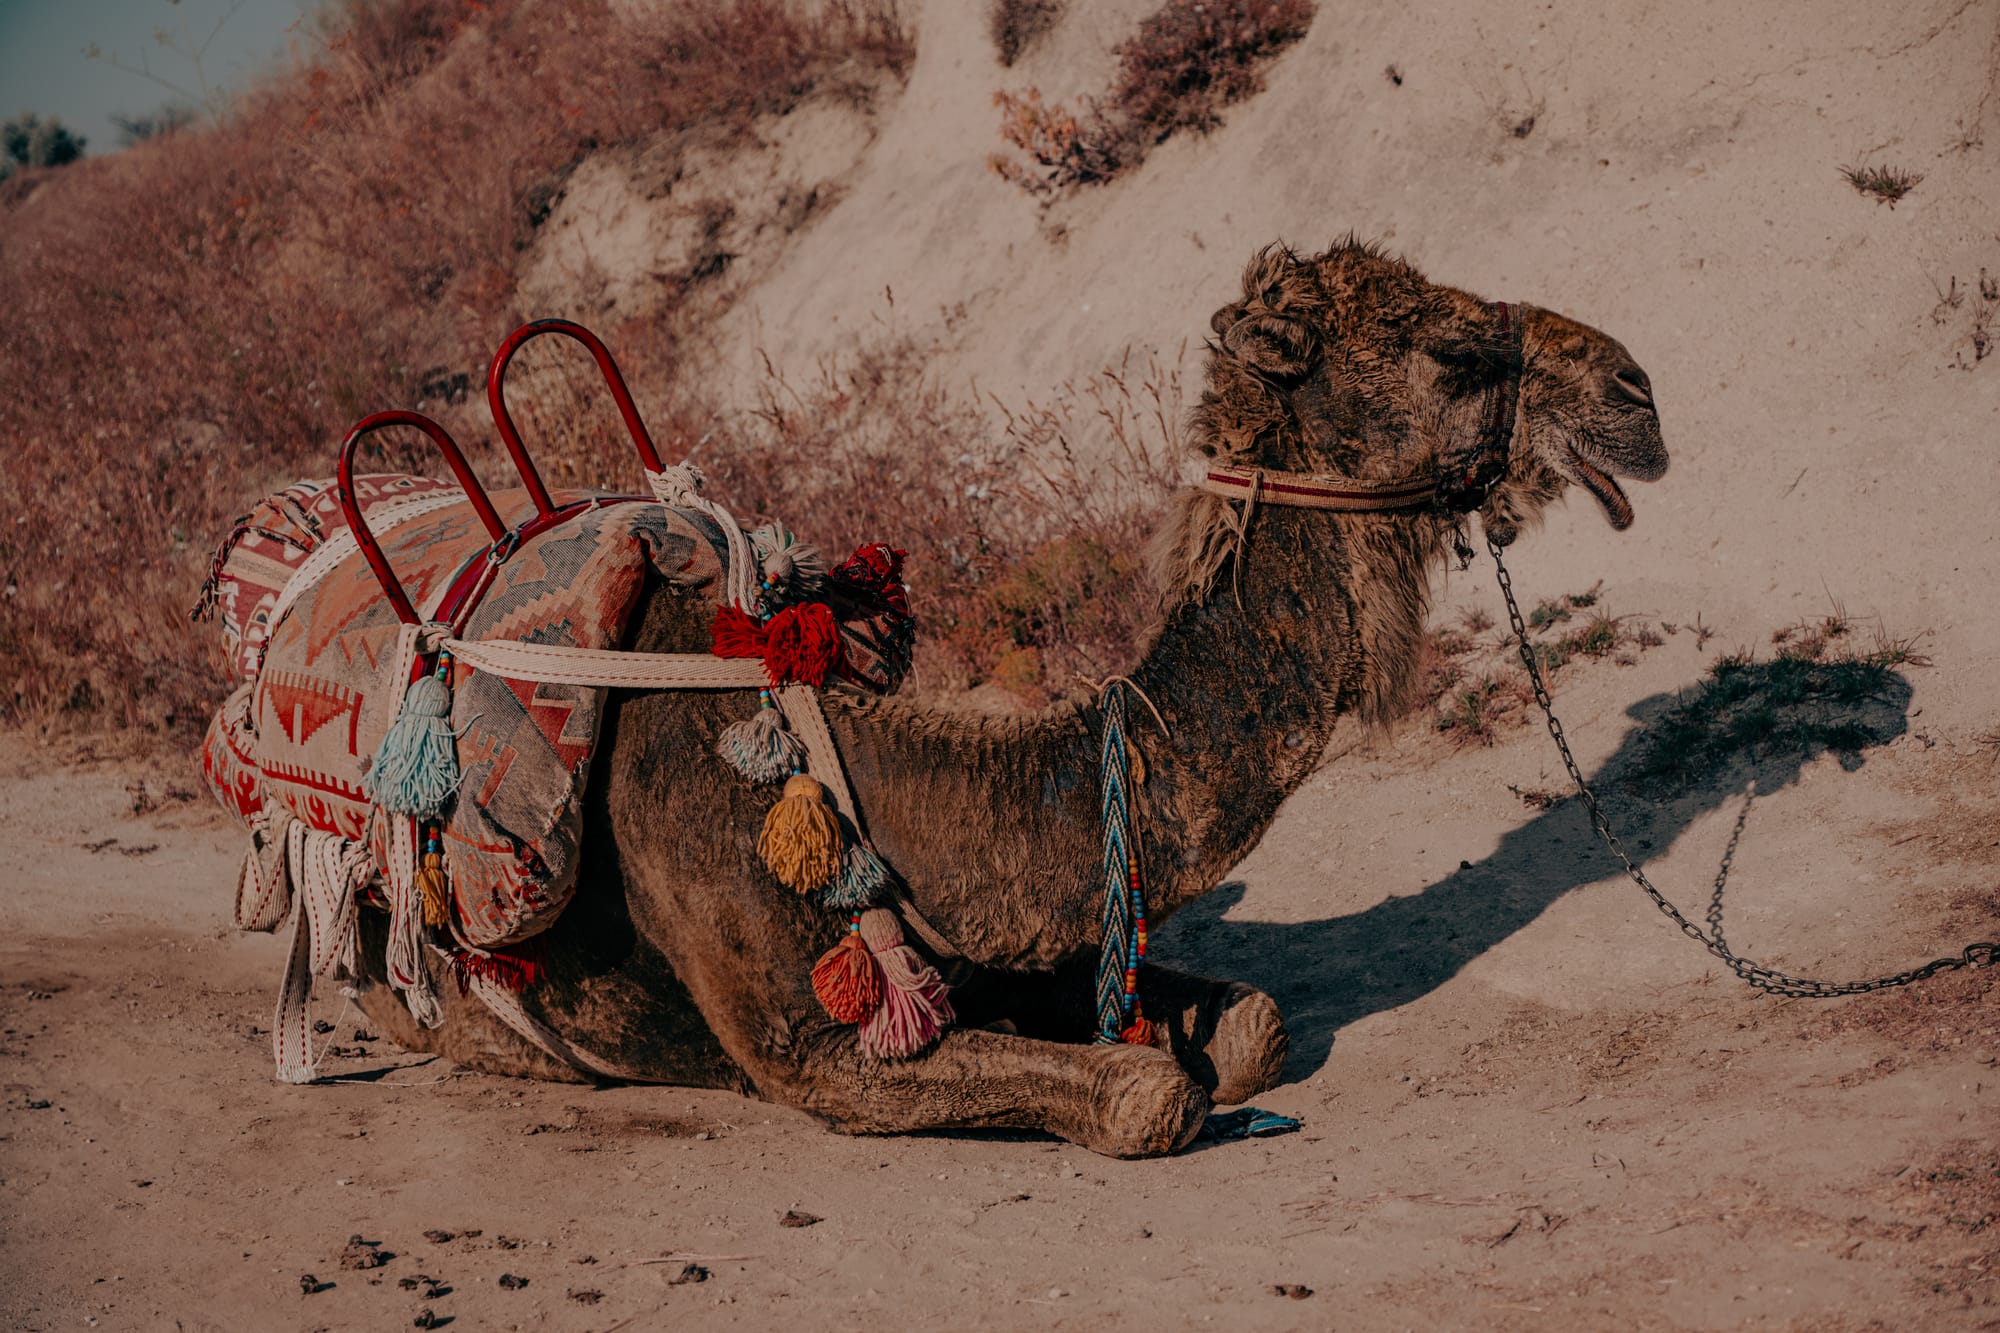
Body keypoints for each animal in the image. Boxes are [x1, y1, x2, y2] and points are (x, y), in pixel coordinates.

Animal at [347, 240, 1668, 1157]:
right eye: (1451, 353)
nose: (1635, 389)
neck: (867, 783)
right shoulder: (810, 1052)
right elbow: (1146, 1094)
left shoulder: (1012, 946)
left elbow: (1250, 1024)